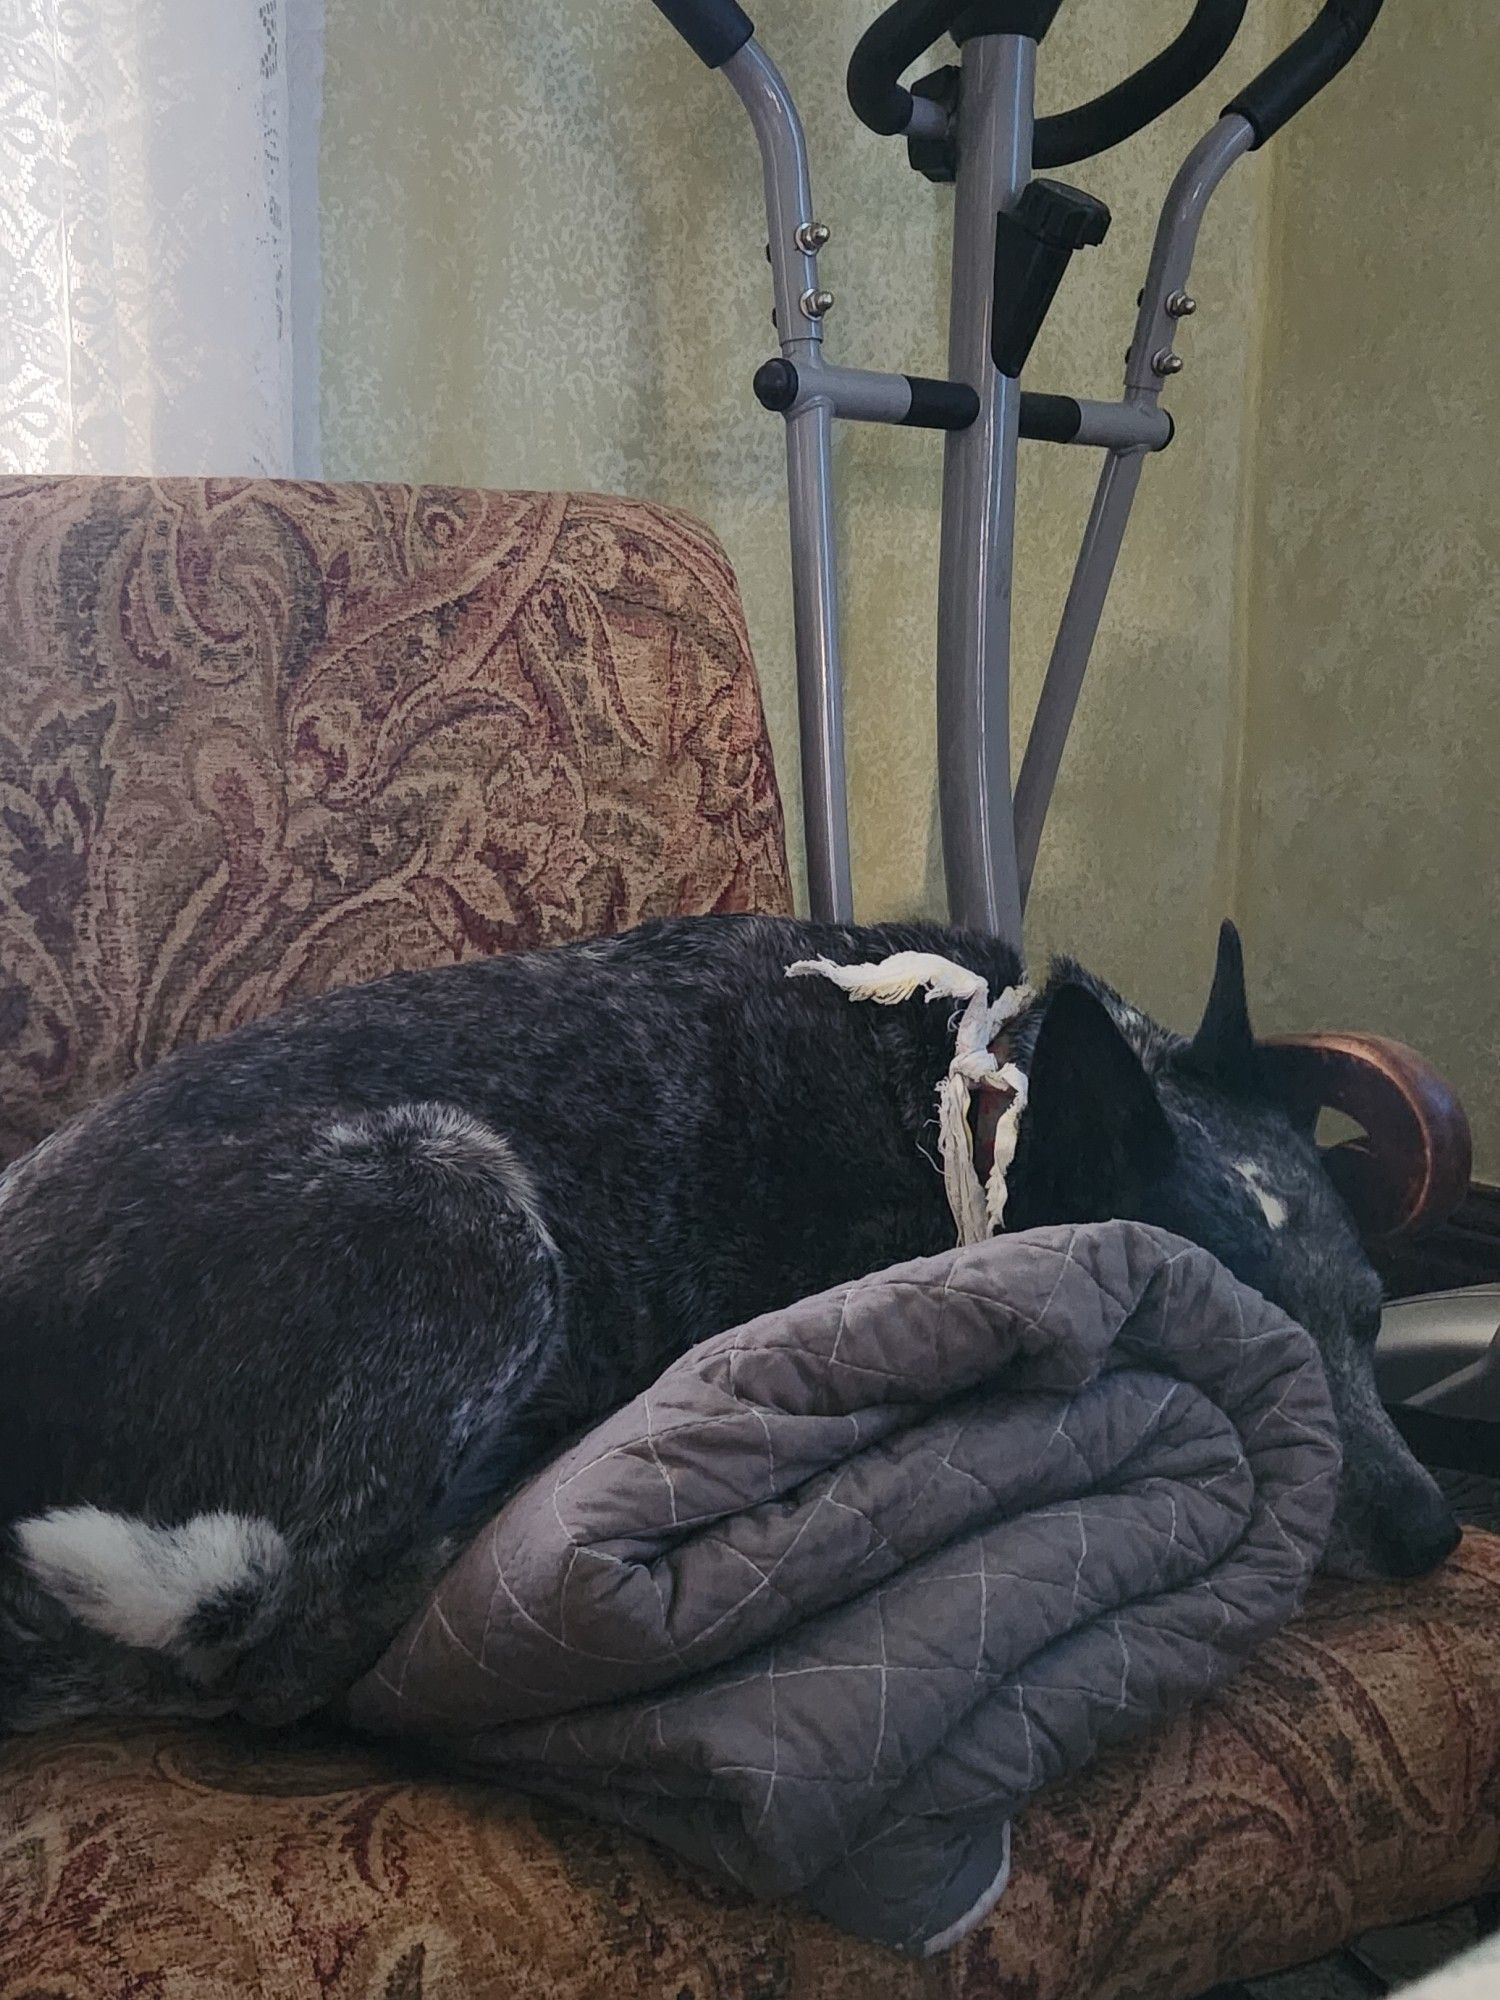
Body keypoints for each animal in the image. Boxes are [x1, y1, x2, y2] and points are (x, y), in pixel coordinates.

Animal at [0, 916, 1464, 1728]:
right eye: (1246, 1354)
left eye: (1371, 1320)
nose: (1440, 1535)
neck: (968, 1116)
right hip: (459, 1195)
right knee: (279, 1662)